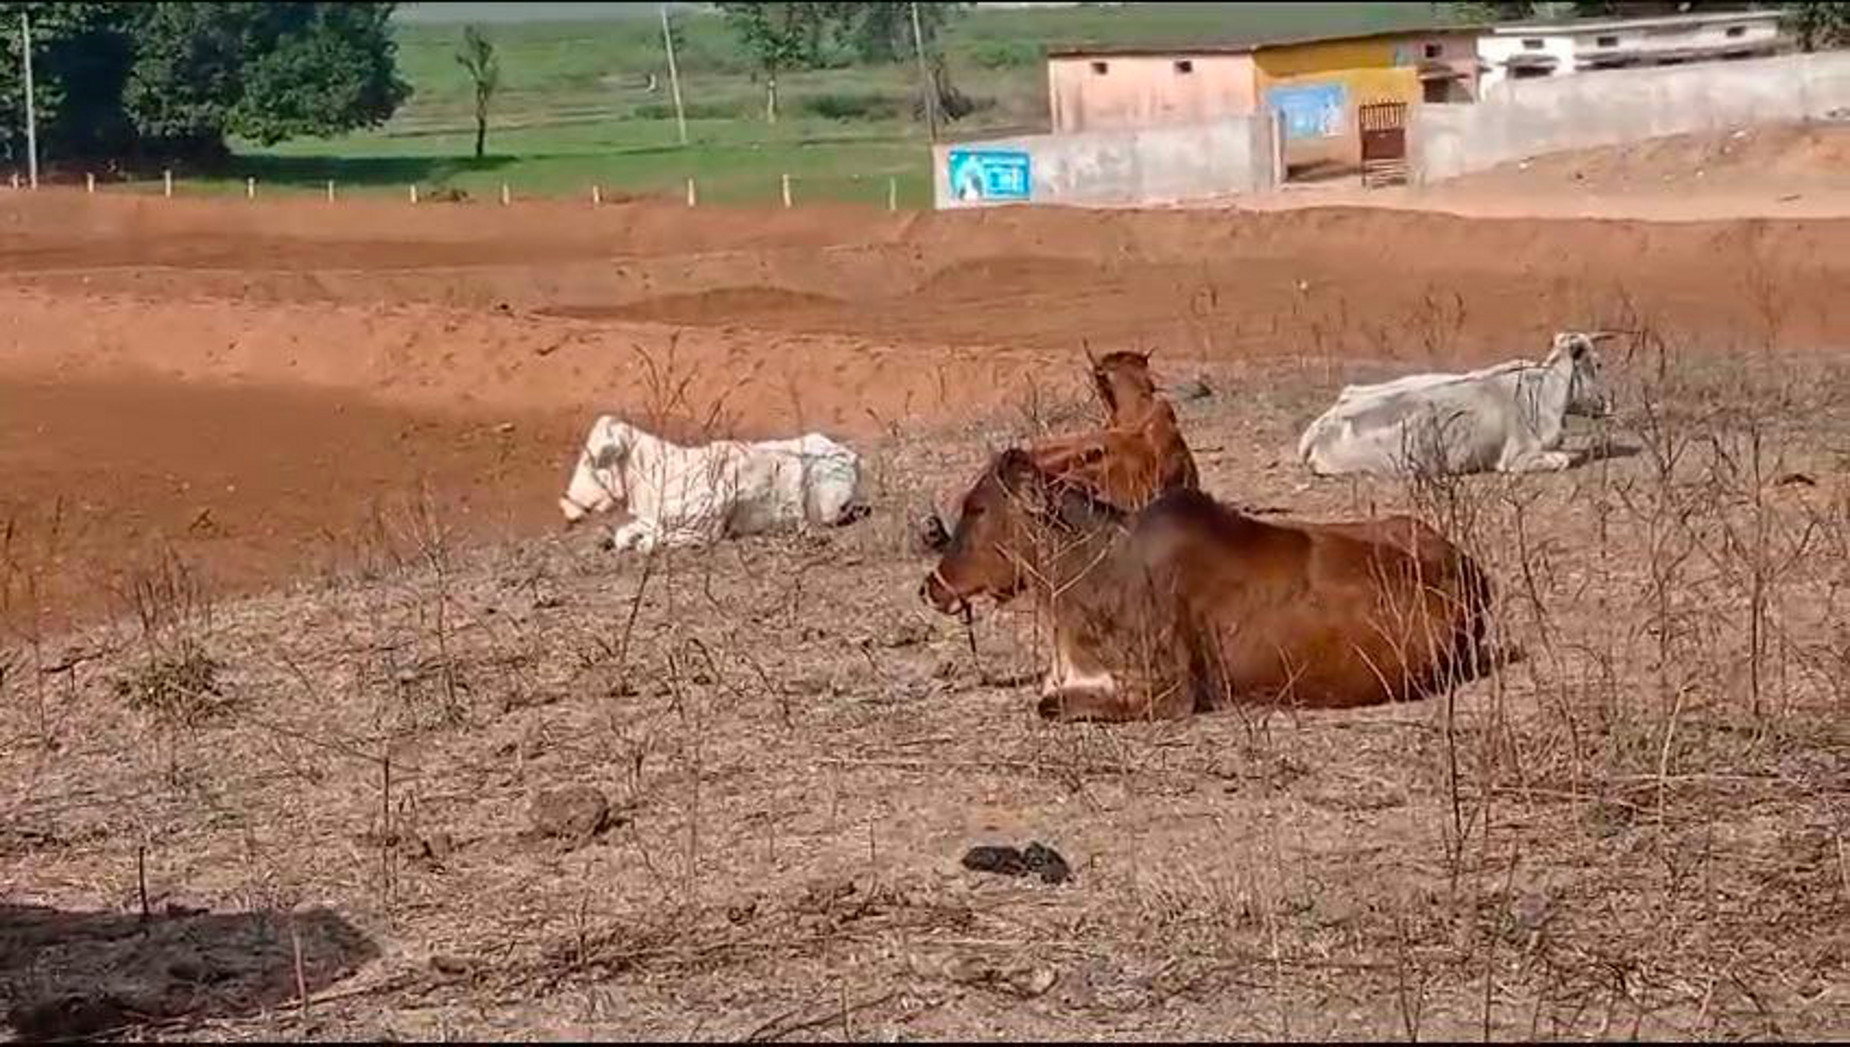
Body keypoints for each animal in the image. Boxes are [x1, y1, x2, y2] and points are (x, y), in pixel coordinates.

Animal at [558, 414, 869, 554]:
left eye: (590, 461)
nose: (567, 506)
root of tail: (849, 454)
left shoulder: (707, 526)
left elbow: (648, 544)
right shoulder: (648, 519)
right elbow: (625, 536)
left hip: (828, 510)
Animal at [1295, 332, 1613, 480]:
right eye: (1598, 364)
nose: (1608, 402)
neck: (1544, 392)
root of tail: (1321, 428)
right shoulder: (1516, 458)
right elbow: (1564, 459)